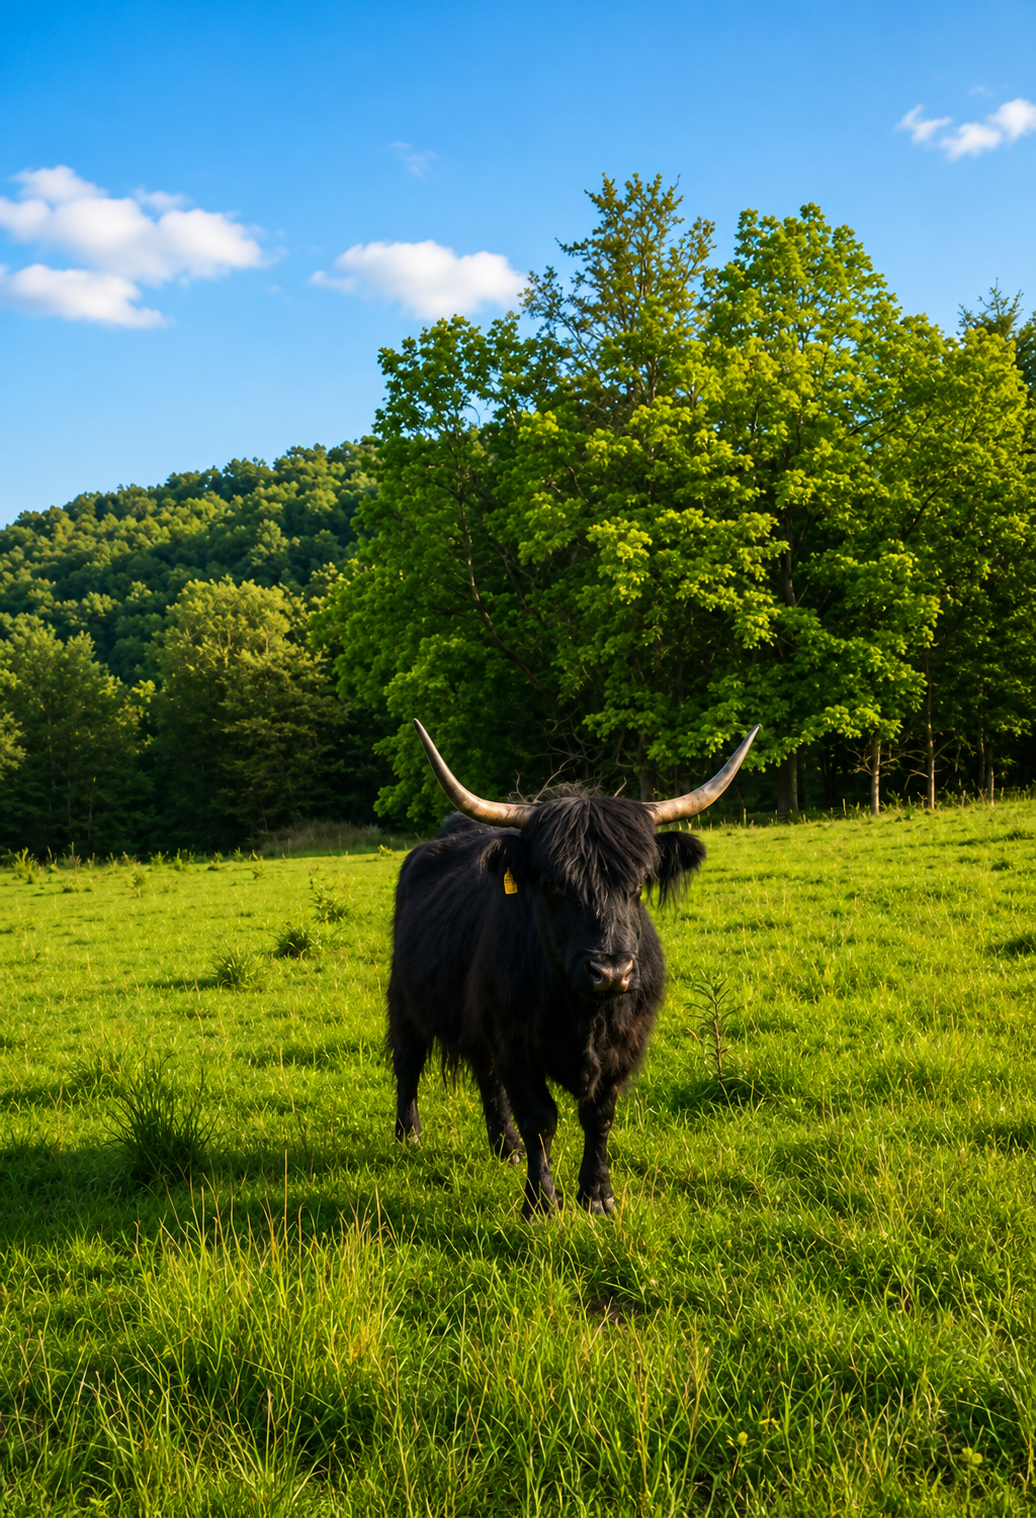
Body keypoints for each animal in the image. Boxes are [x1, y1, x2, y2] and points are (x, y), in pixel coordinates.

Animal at [387, 719, 759, 1218]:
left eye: (638, 884)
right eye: (553, 884)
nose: (611, 972)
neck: (583, 1012)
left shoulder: (623, 1045)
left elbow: (598, 1117)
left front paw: (598, 1195)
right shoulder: (514, 1042)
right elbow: (540, 1119)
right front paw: (542, 1202)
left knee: (486, 1078)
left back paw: (505, 1148)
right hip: (406, 1000)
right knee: (409, 1061)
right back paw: (409, 1135)